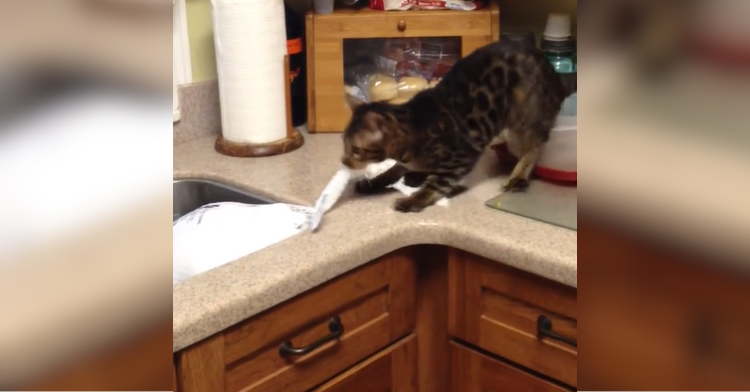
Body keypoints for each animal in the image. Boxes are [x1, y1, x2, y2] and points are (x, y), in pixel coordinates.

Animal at [344, 41, 580, 213]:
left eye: (355, 150)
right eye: (344, 145)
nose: (343, 161)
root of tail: (553, 74)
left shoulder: (462, 157)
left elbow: (436, 183)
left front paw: (415, 199)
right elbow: (393, 170)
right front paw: (374, 182)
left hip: (525, 118)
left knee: (536, 145)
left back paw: (518, 176)